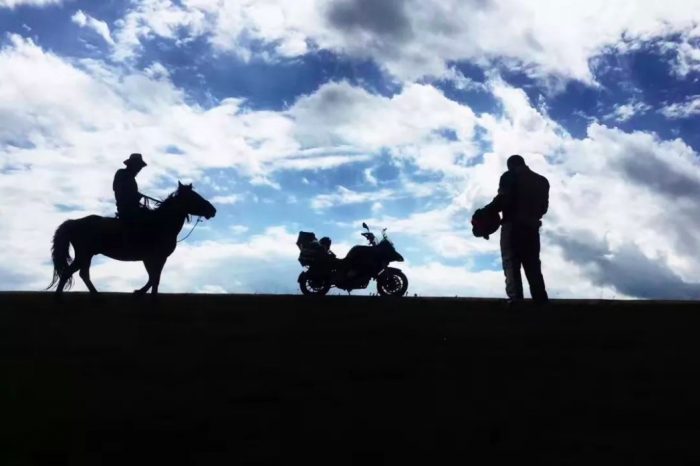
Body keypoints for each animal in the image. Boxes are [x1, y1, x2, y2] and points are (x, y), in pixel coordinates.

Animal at [48, 182, 216, 294]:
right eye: (194, 197)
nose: (212, 210)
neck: (161, 222)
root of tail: (74, 222)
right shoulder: (153, 258)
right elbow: (154, 278)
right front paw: (142, 293)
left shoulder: (156, 259)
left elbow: (155, 278)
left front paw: (143, 293)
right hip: (84, 255)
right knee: (68, 273)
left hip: (86, 255)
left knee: (82, 274)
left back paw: (97, 296)